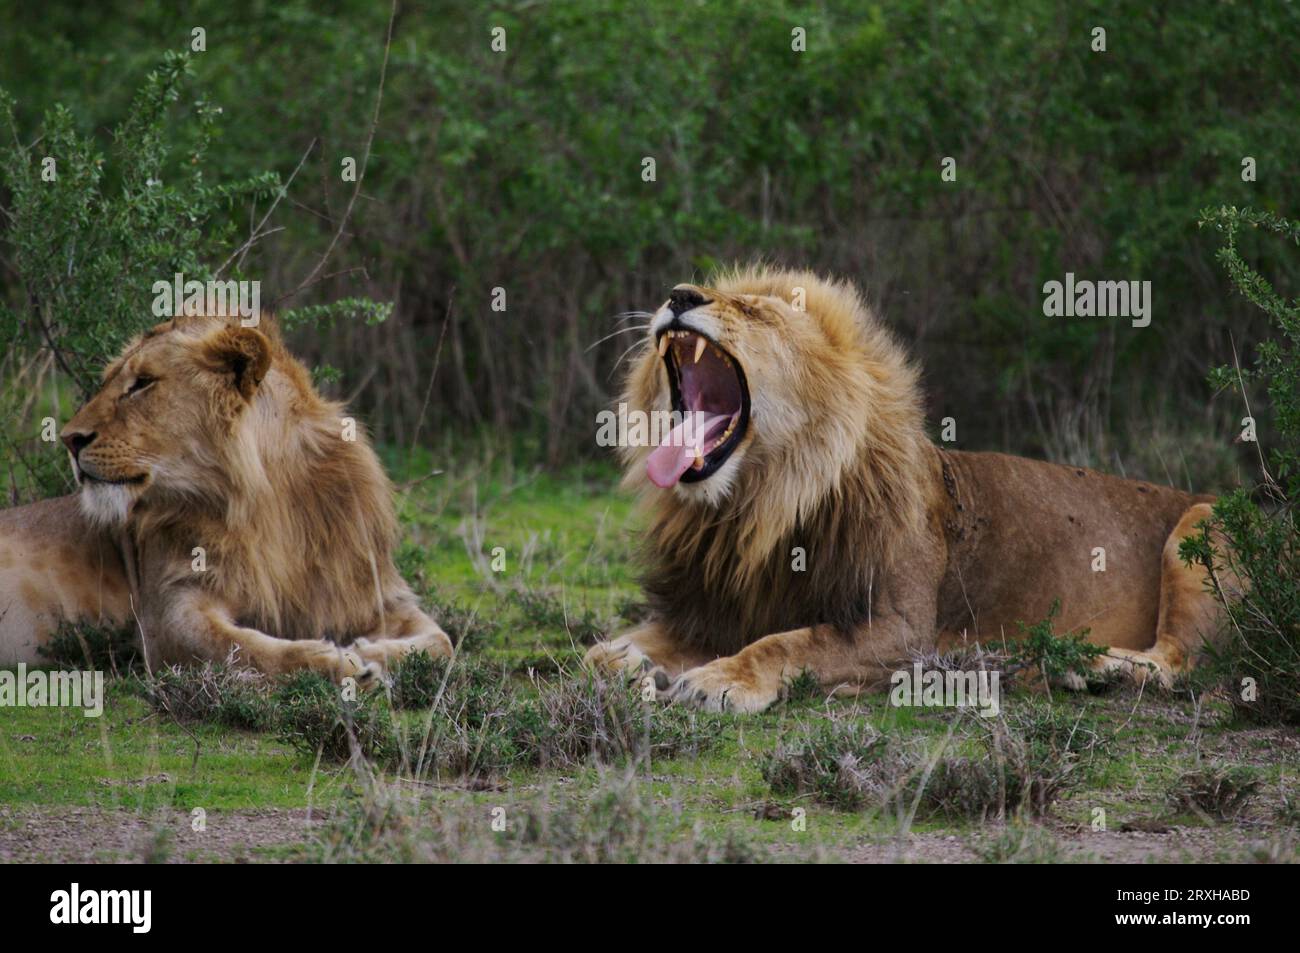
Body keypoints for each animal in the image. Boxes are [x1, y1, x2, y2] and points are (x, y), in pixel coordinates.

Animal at [0, 313, 450, 682]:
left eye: (142, 383)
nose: (69, 440)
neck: (266, 502)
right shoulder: (166, 614)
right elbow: (241, 647)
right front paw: (341, 663)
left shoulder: (374, 595)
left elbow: (442, 643)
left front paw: (369, 650)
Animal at [584, 266, 1238, 712]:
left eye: (753, 311)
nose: (678, 296)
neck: (757, 507)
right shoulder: (711, 607)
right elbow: (608, 648)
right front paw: (627, 658)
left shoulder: (902, 633)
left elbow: (789, 644)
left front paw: (720, 679)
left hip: (1203, 521)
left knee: (1181, 662)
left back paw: (1095, 667)